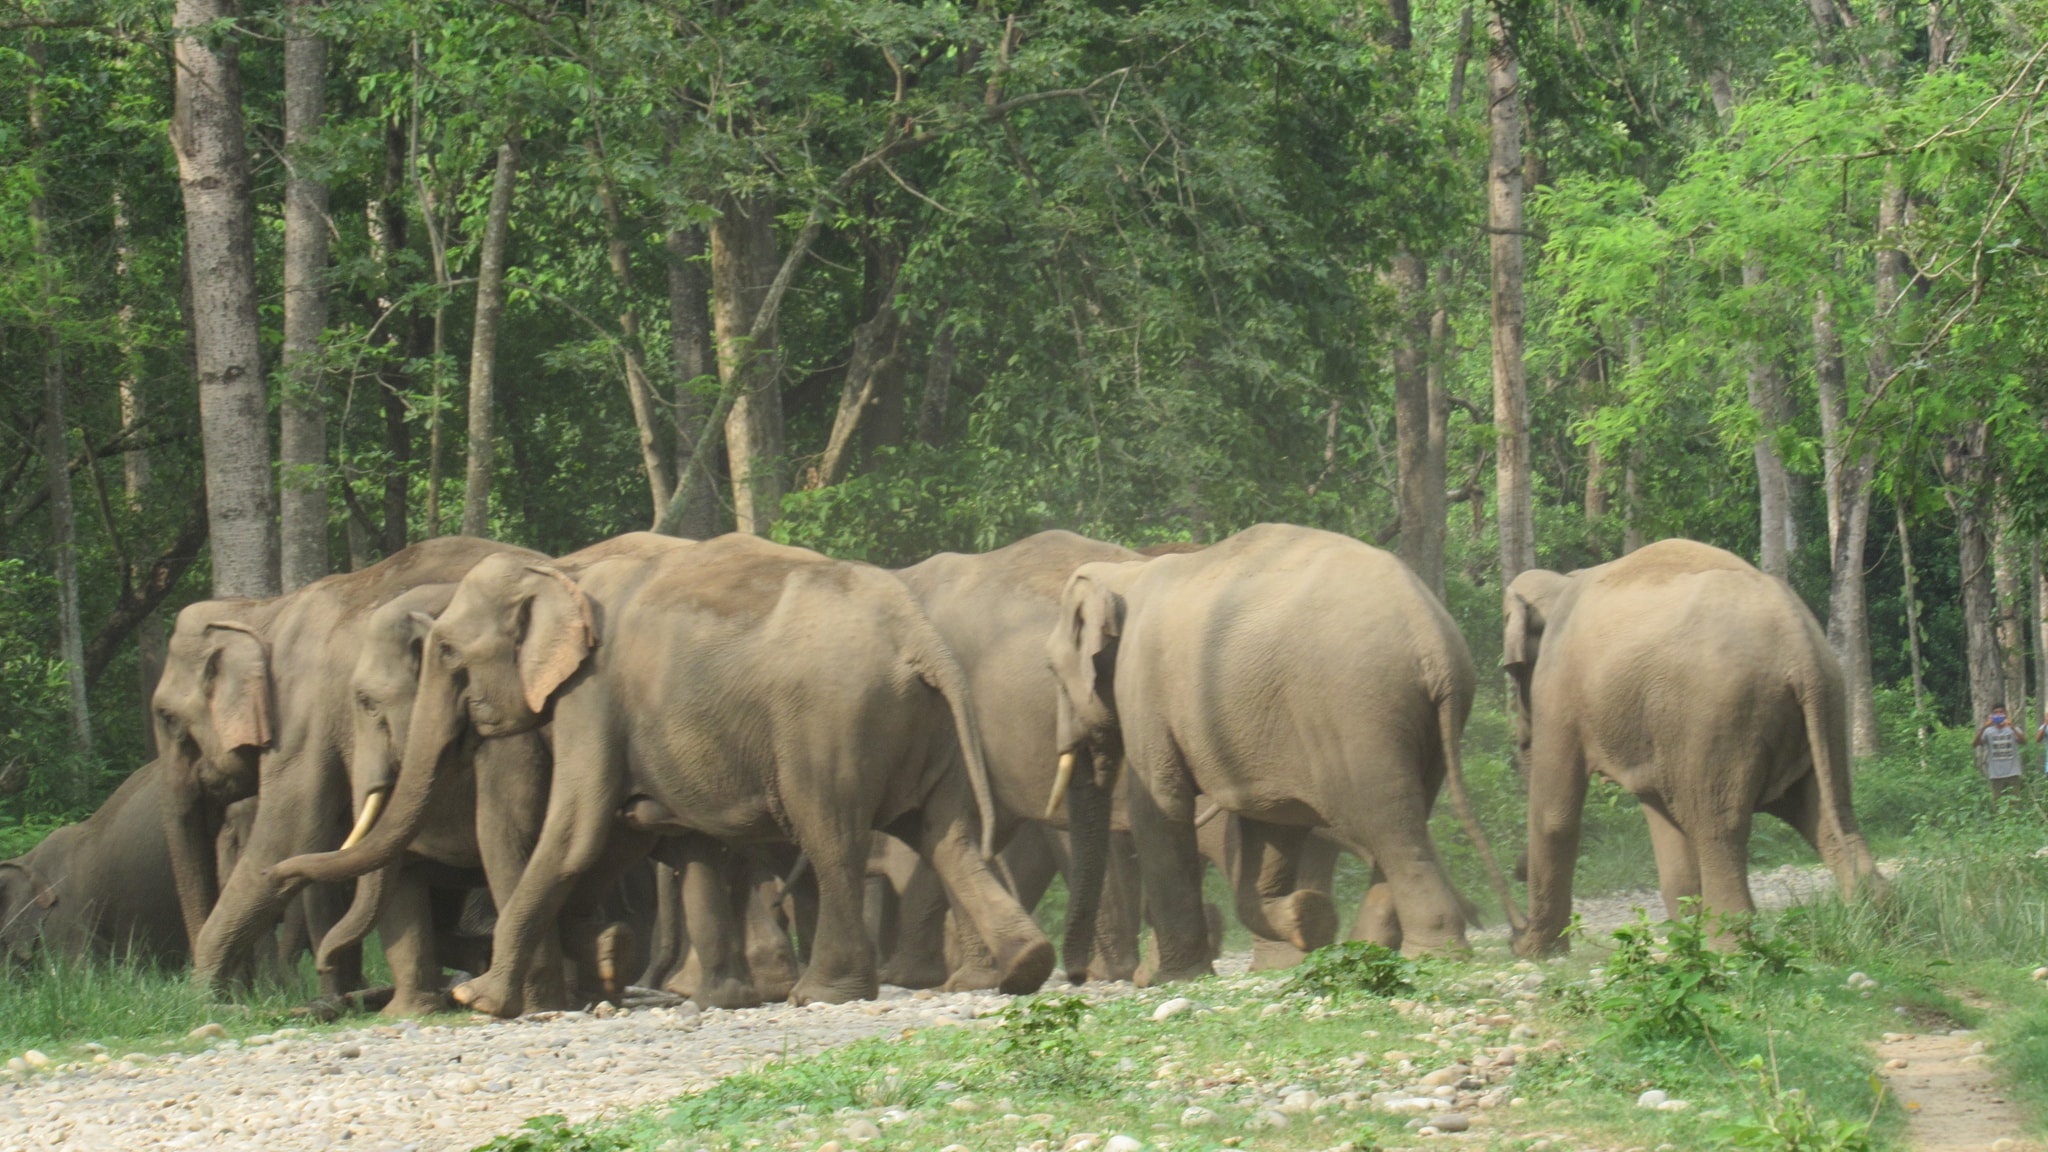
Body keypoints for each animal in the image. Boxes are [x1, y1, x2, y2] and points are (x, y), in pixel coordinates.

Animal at [152, 532, 540, 992]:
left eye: (167, 717)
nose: (231, 992)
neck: (263, 611)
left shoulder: (303, 717)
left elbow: (291, 835)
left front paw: (202, 997)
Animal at [1048, 520, 1515, 975]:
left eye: (1052, 669)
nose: (1075, 976)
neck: (1125, 573)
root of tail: (1433, 640)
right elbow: (1271, 823)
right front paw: (1308, 917)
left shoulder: (1143, 686)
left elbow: (1161, 806)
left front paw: (1179, 976)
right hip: (1422, 728)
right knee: (1407, 815)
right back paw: (1371, 948)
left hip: (1359, 714)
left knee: (1387, 824)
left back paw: (1433, 954)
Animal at [1507, 537, 1884, 951]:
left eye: (1514, 671)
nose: (1516, 872)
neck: (1561, 582)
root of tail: (1799, 645)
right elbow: (1662, 817)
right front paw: (1685, 942)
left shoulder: (1558, 687)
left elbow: (1554, 815)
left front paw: (1535, 951)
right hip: (1825, 707)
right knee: (1831, 813)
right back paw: (1876, 921)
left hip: (1718, 717)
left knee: (1718, 828)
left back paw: (1731, 948)